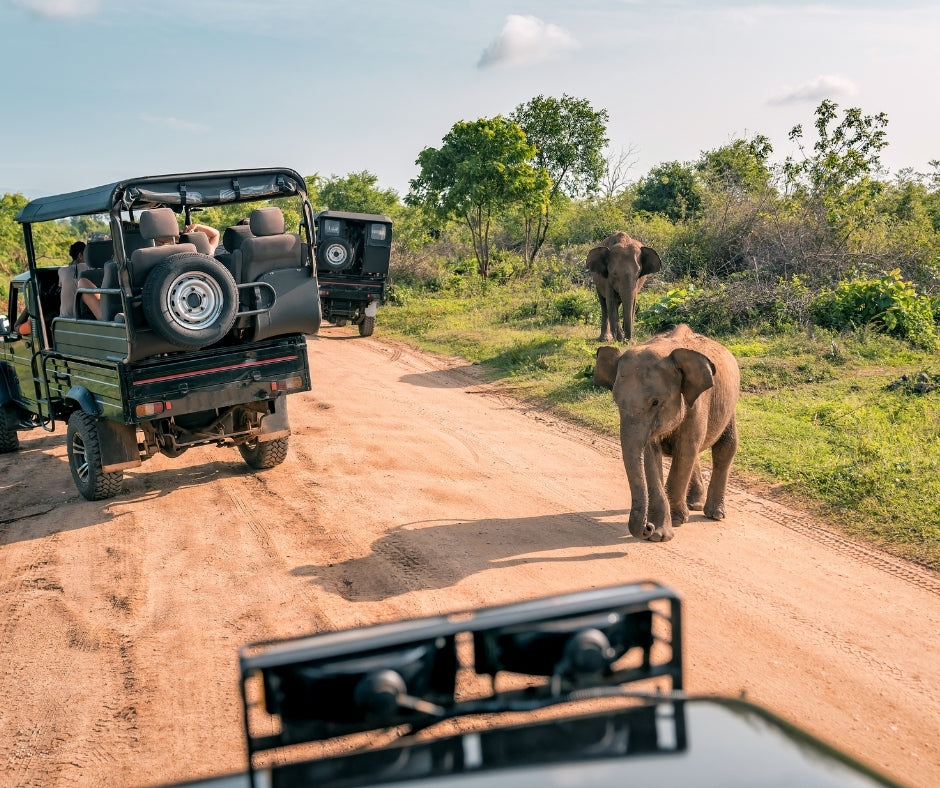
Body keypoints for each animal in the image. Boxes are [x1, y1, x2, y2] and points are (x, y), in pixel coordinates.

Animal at [596, 324, 740, 540]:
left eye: (655, 402)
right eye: (616, 402)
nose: (646, 527)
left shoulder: (698, 403)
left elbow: (686, 449)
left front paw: (677, 520)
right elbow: (650, 454)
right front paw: (660, 533)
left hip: (730, 406)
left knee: (725, 447)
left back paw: (714, 514)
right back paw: (694, 504)